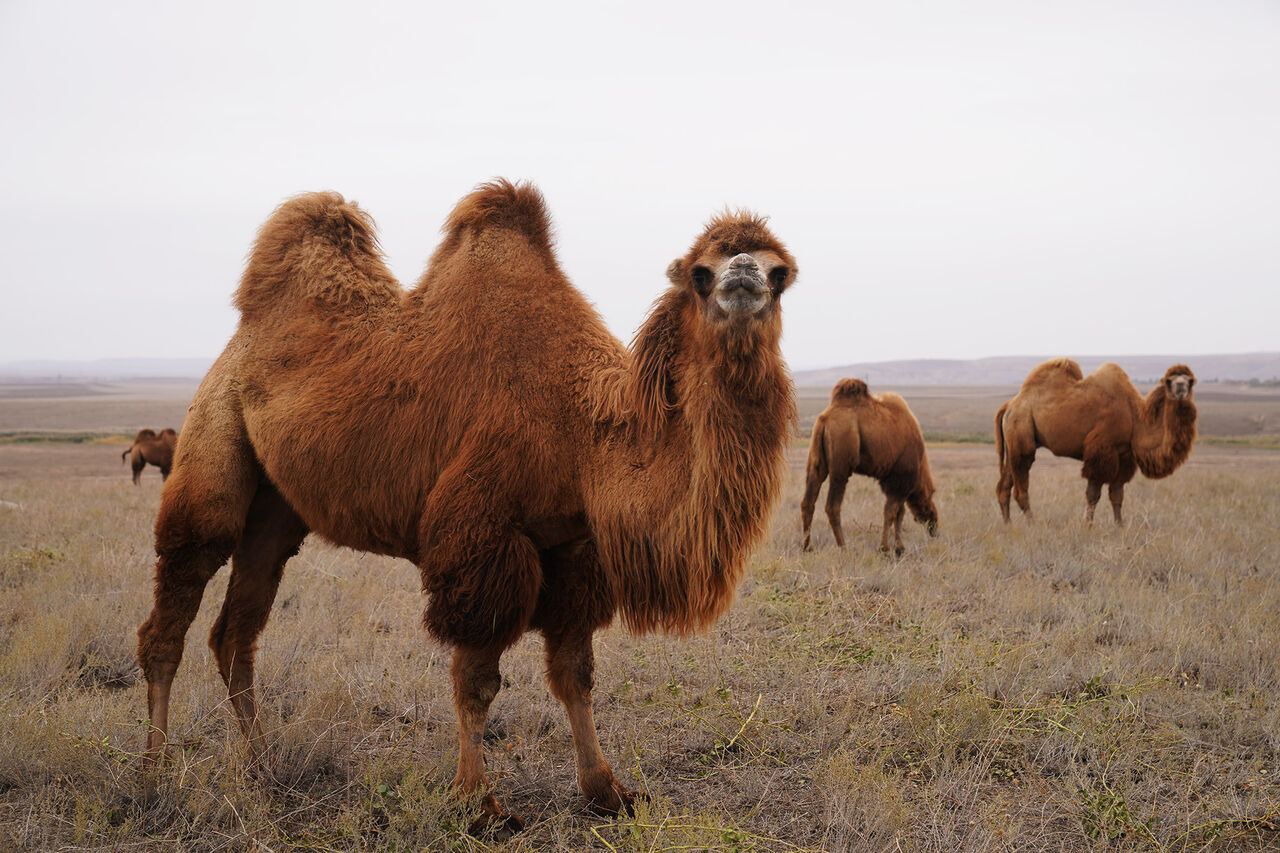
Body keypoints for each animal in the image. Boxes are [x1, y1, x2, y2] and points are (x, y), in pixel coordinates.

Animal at [135, 183, 793, 835]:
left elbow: (575, 673)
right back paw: (156, 775)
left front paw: (607, 791)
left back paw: (263, 768)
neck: (582, 430)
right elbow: (477, 682)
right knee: (173, 608)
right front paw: (479, 804)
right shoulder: (483, 539)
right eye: (700, 273)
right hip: (213, 440)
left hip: (275, 511)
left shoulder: (574, 549)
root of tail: (242, 339)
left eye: (781, 271)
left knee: (234, 633)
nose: (743, 275)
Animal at [798, 376, 942, 550]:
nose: (934, 526)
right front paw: (886, 549)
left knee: (808, 501)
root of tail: (824, 420)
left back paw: (807, 547)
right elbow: (891, 513)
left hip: (816, 461)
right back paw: (844, 548)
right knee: (832, 507)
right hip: (841, 466)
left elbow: (898, 513)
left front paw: (899, 549)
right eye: (930, 502)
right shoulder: (899, 479)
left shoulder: (891, 481)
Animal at [993, 356, 1192, 522]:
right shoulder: (1101, 450)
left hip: (1013, 444)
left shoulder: (1124, 455)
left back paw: (1008, 526)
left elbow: (1117, 494)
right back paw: (1032, 525)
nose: (1180, 387)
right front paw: (1087, 526)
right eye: (1169, 381)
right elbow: (1093, 495)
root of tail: (1009, 405)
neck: (1134, 416)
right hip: (1021, 432)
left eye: (1190, 380)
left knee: (1004, 487)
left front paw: (1119, 527)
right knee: (1020, 489)